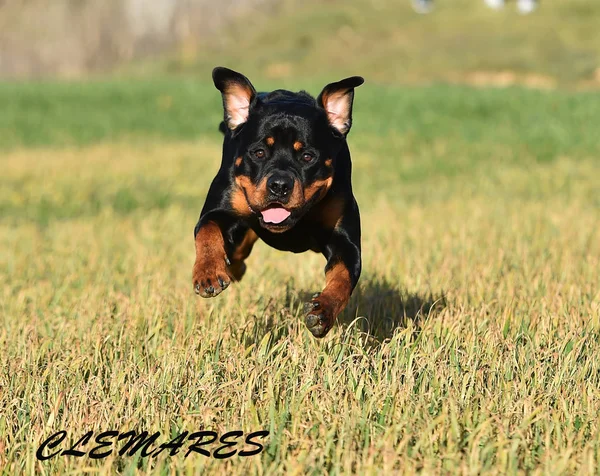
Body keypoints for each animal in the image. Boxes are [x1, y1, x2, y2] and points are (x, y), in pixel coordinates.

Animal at [193, 68, 360, 338]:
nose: (279, 185)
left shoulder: (346, 241)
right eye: (259, 152)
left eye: (307, 156)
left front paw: (323, 310)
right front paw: (207, 273)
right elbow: (208, 231)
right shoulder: (219, 211)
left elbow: (343, 276)